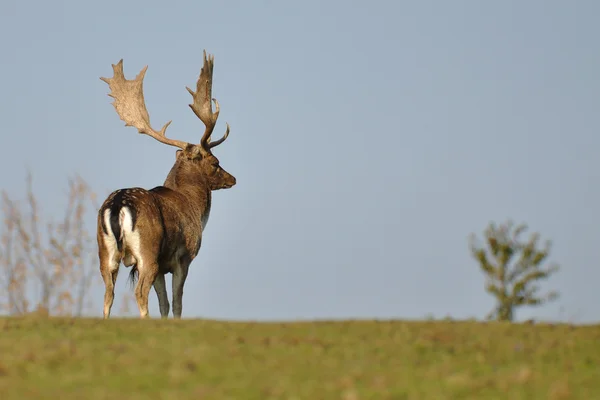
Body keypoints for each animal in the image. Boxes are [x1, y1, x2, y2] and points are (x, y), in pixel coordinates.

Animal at [95, 49, 234, 318]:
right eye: (215, 162)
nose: (232, 178)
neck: (193, 207)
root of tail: (117, 205)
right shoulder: (183, 256)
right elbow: (177, 302)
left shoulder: (161, 267)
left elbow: (164, 303)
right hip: (147, 251)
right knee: (139, 293)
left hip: (105, 251)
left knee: (107, 294)